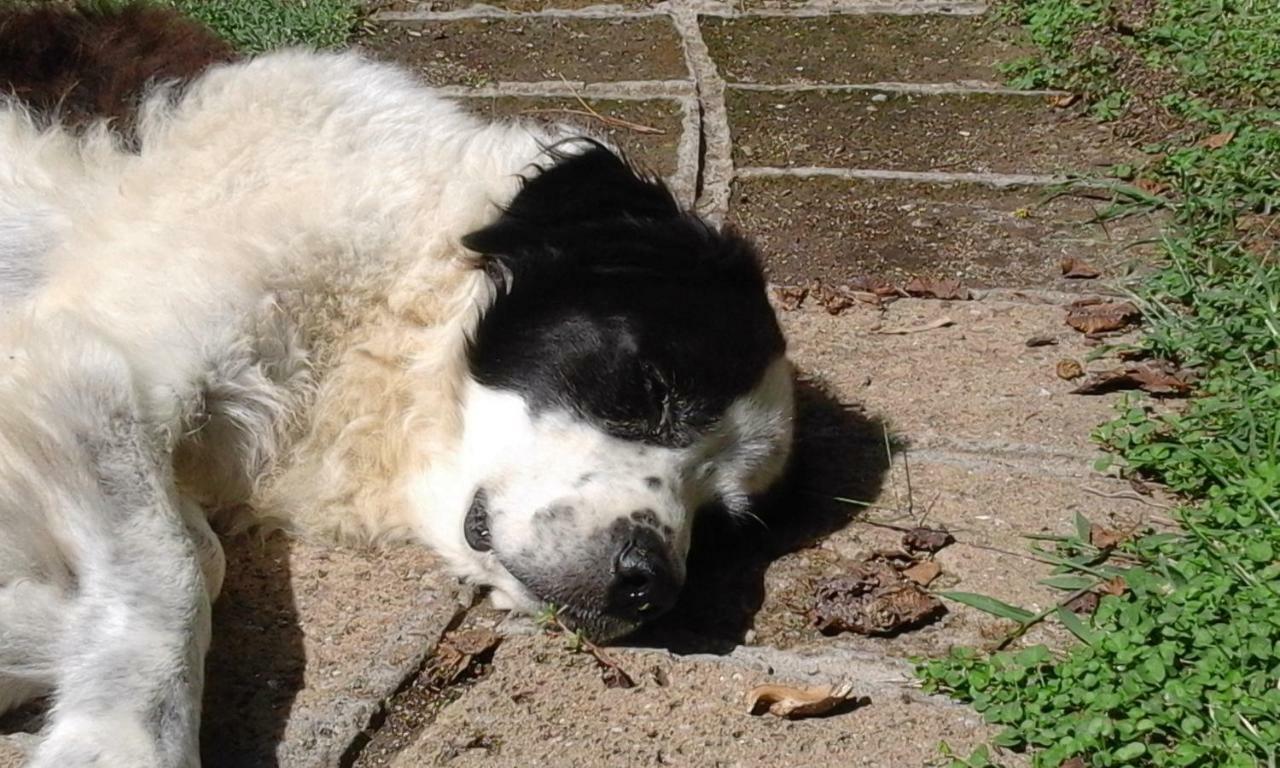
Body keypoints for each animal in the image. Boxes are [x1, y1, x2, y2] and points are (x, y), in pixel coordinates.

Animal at [0, 7, 793, 768]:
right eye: (648, 390)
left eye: (718, 518)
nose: (648, 583)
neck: (395, 289)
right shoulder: (81, 360)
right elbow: (178, 564)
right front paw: (122, 737)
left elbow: (195, 550)